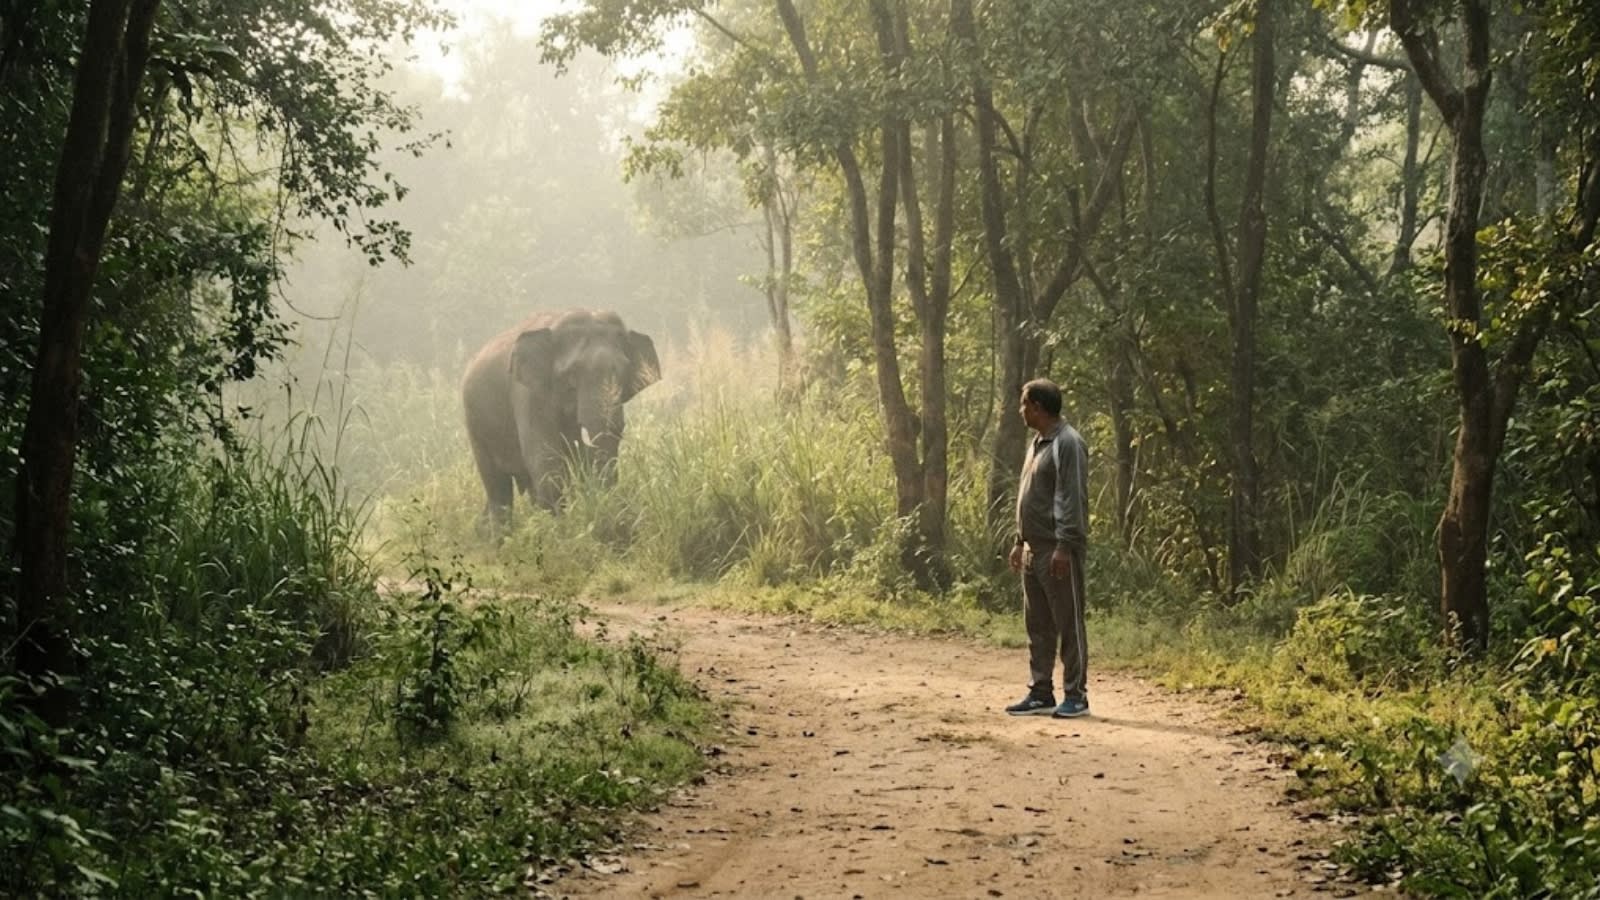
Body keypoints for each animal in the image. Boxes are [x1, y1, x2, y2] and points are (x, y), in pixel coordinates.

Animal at [461, 309, 660, 528]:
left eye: (624, 373)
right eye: (572, 374)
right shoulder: (527, 394)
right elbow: (546, 460)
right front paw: (562, 530)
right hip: (475, 424)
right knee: (499, 490)